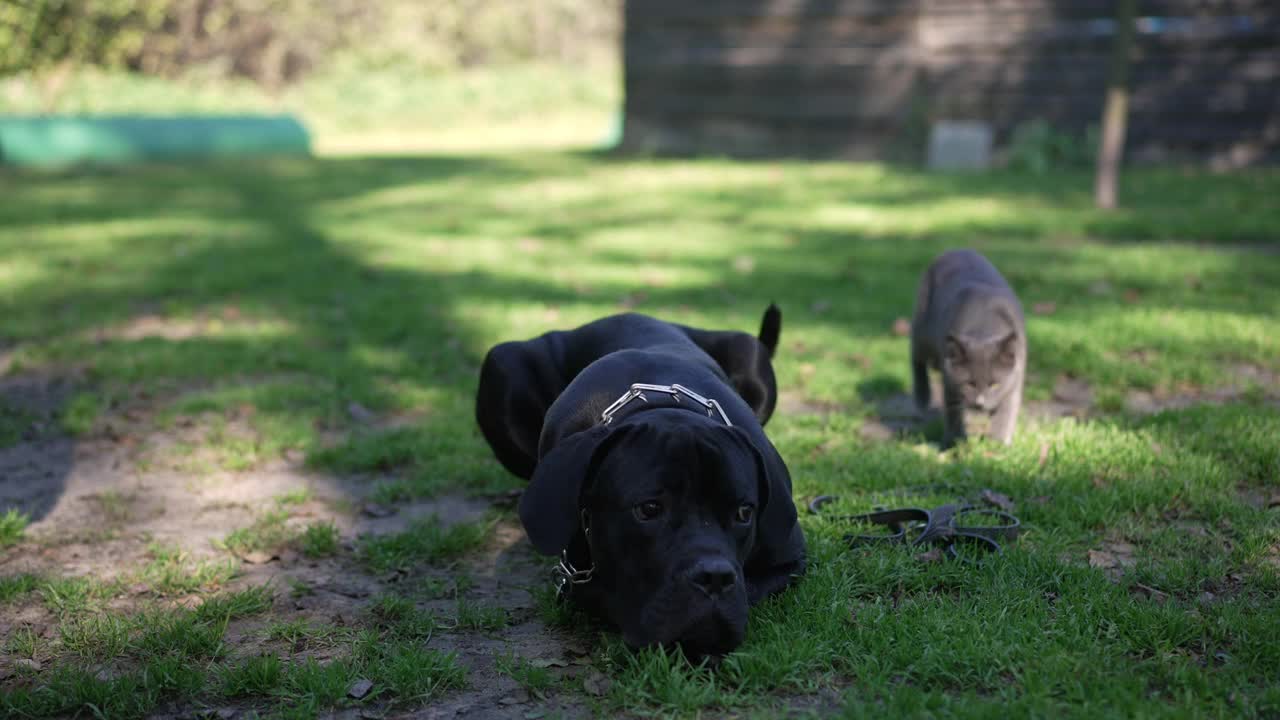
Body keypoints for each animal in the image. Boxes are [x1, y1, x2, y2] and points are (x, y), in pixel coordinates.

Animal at [476, 304, 803, 653]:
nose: (715, 577)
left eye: (744, 512)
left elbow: (752, 589)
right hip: (502, 363)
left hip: (749, 353)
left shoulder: (789, 561)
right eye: (649, 509)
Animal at [911, 249, 1029, 445]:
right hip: (923, 328)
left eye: (995, 384)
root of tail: (953, 250)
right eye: (969, 383)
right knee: (916, 357)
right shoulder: (950, 380)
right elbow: (952, 410)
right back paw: (921, 399)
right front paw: (954, 441)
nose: (980, 403)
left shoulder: (1015, 377)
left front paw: (998, 443)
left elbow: (1006, 410)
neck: (984, 327)